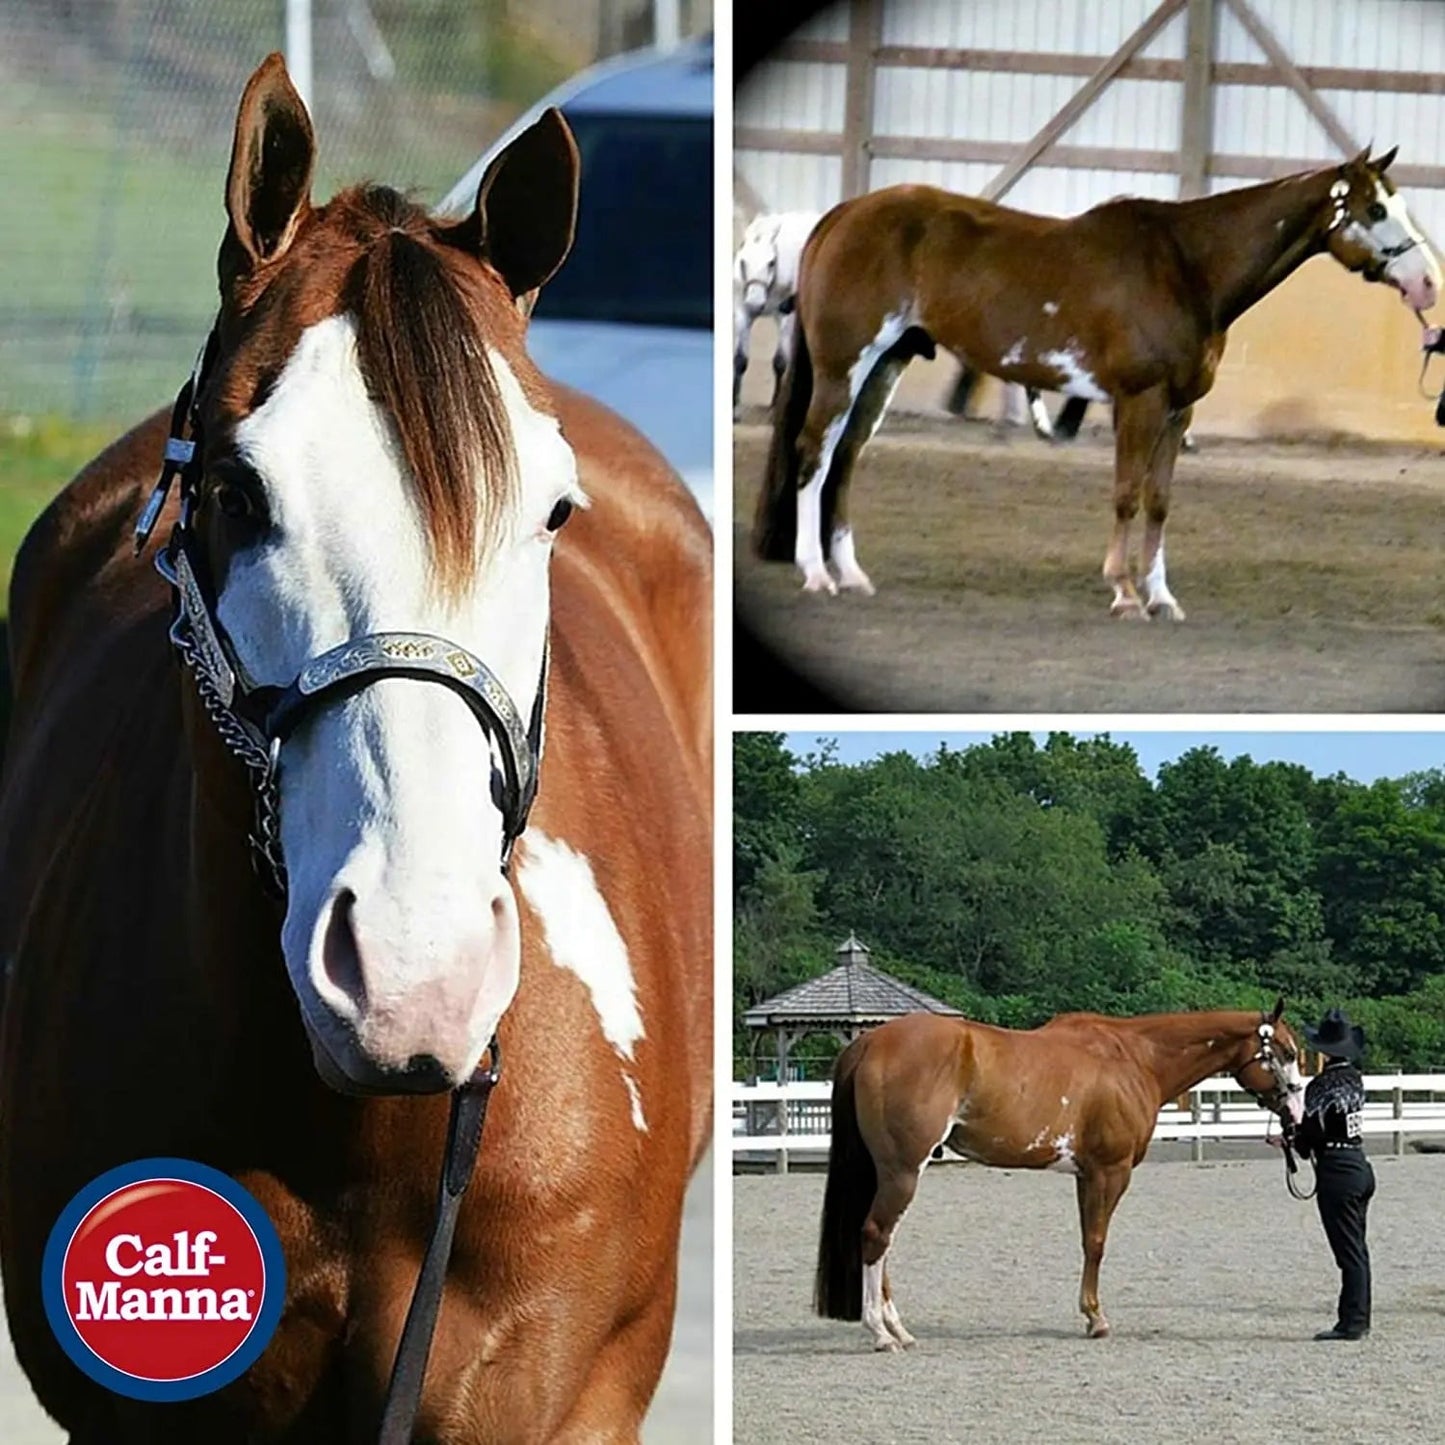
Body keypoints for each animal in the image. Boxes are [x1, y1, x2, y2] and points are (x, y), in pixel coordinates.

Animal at [733, 209, 819, 407]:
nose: (755, 303)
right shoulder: (742, 310)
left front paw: (775, 403)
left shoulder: (786, 315)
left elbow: (780, 361)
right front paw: (735, 403)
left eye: (771, 262)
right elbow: (740, 359)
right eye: (743, 262)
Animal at [754, 148, 1439, 607]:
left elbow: (1160, 500)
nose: (1429, 283)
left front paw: (1162, 597)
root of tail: (843, 214)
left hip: (885, 365)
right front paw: (1124, 591)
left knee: (846, 457)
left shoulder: (1178, 410)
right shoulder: (1140, 401)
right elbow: (1127, 494)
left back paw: (852, 573)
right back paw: (816, 574)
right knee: (814, 453)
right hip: (845, 365)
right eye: (1375, 208)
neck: (1187, 267)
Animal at [815, 1002, 1305, 1349]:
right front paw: (1097, 1319)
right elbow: (1098, 1242)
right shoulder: (1110, 1172)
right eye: (1284, 1053)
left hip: (886, 1172)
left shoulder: (1085, 1175)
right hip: (902, 1170)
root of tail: (869, 1042)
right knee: (876, 1235)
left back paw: (898, 1328)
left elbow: (1087, 1239)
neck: (1135, 1058)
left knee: (878, 1240)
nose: (1298, 1113)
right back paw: (882, 1334)